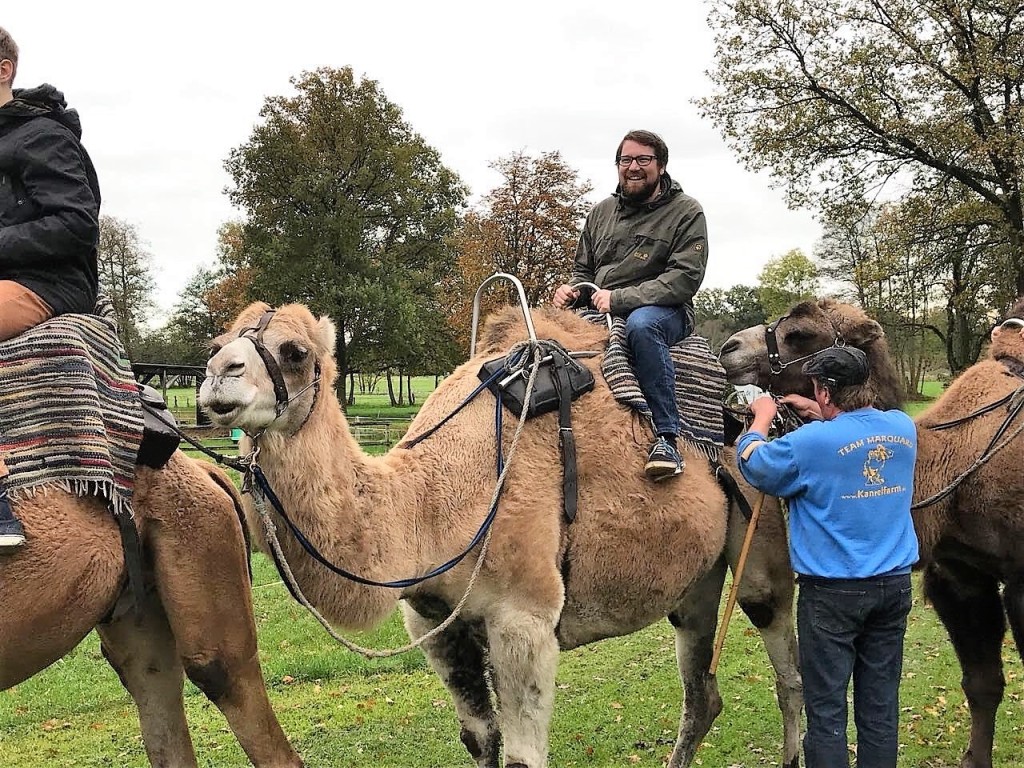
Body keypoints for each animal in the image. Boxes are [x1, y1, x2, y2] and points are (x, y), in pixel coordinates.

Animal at [201, 303, 806, 768]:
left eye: (294, 351)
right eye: (218, 340)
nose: (216, 375)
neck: (426, 504)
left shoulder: (525, 617)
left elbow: (522, 756)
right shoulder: (432, 619)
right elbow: (478, 739)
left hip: (760, 539)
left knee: (786, 666)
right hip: (694, 581)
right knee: (702, 694)